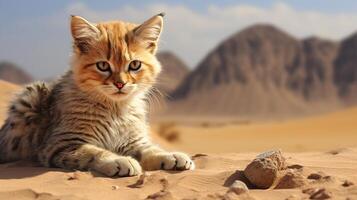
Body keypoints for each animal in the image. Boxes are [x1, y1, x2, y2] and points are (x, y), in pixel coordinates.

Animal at [0, 13, 195, 177]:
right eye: (103, 66)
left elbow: (151, 150)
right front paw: (119, 160)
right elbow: (92, 152)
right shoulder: (61, 144)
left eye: (134, 65)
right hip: (31, 96)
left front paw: (171, 156)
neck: (115, 110)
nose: (120, 84)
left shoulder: (133, 141)